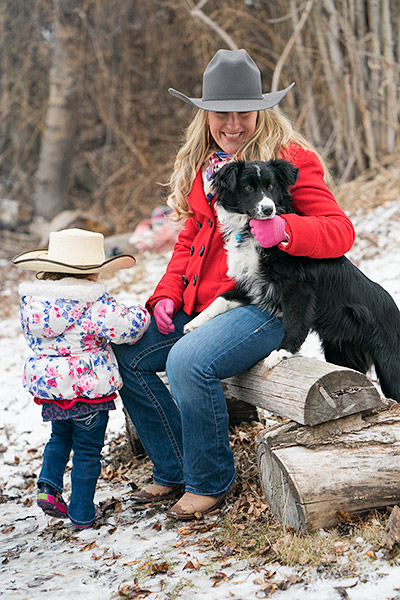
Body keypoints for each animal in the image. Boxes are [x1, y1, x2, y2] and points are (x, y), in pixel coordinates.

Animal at [186, 159, 400, 404]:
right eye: (248, 187)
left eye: (270, 186)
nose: (268, 210)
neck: (251, 231)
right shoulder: (254, 285)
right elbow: (222, 298)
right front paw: (194, 323)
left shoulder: (298, 288)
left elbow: (294, 322)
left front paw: (281, 353)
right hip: (341, 352)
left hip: (390, 364)